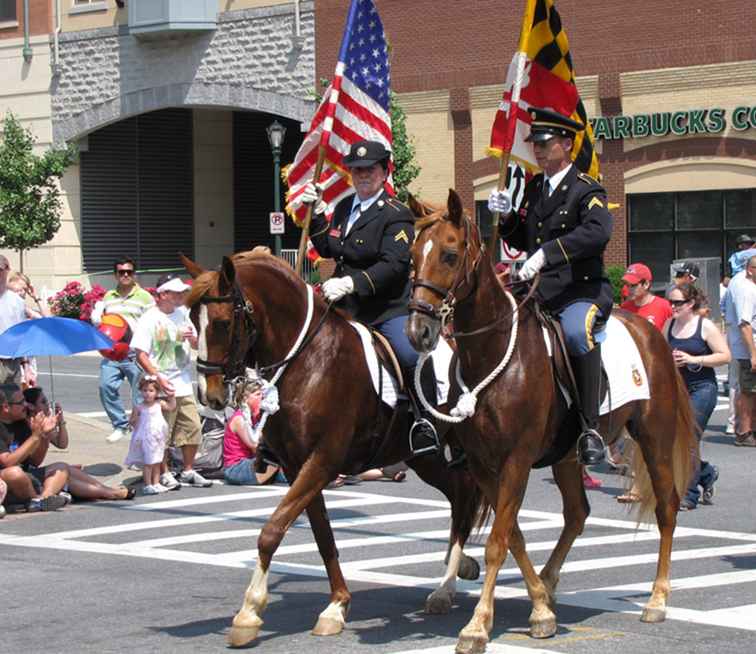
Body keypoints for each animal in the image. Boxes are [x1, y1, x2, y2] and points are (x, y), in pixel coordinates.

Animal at [182, 251, 488, 652]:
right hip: (425, 458)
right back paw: (457, 571)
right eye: (191, 321)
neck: (308, 359)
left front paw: (248, 612)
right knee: (461, 495)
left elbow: (272, 530)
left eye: (220, 323)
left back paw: (448, 584)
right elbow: (322, 534)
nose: (209, 395)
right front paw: (337, 605)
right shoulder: (298, 466)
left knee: (468, 494)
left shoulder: (323, 461)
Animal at [408, 191, 696, 654]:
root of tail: (653, 333)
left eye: (450, 255)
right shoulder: (484, 465)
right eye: (413, 255)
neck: (493, 356)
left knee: (666, 508)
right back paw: (548, 581)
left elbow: (496, 542)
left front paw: (477, 626)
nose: (419, 331)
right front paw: (540, 609)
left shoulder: (516, 461)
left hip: (654, 436)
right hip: (566, 455)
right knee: (577, 513)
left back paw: (657, 599)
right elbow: (512, 535)